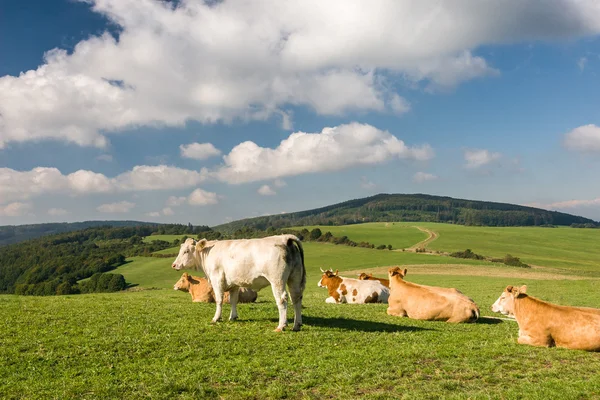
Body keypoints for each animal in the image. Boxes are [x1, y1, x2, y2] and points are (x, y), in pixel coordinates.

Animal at [171, 234, 308, 332]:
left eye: (186, 251)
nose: (174, 265)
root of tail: (284, 238)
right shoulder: (234, 284)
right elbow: (233, 300)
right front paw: (233, 317)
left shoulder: (217, 280)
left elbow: (219, 300)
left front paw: (216, 318)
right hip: (294, 278)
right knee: (296, 298)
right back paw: (297, 324)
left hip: (277, 280)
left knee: (282, 299)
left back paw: (281, 326)